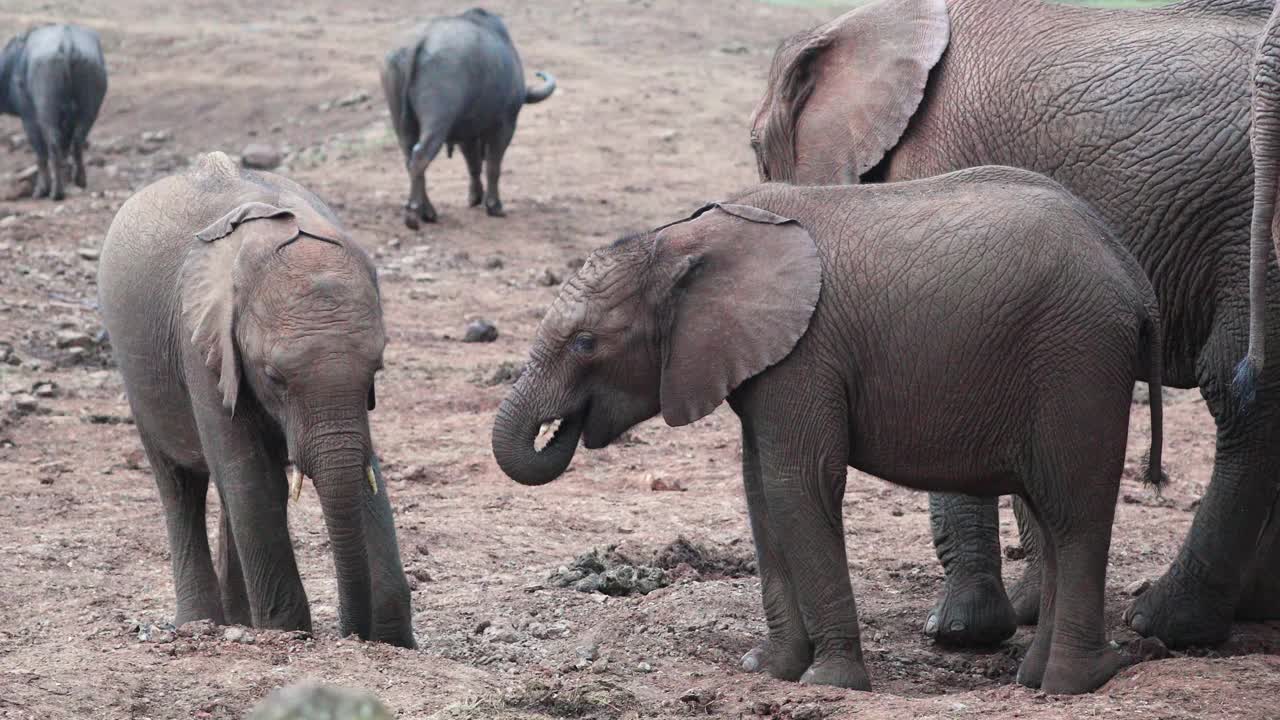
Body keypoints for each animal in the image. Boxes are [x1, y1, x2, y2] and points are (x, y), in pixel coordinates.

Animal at [0, 24, 106, 198]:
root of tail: (67, 42)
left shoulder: (28, 118)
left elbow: (41, 154)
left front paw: (41, 189)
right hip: (89, 109)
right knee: (77, 141)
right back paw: (79, 180)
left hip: (46, 111)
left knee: (53, 145)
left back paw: (56, 192)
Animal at [103, 151, 417, 645]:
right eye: (274, 376)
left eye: (377, 370)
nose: (352, 634)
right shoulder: (200, 346)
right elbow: (255, 481)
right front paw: (288, 634)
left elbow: (363, 472)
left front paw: (392, 641)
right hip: (137, 371)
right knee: (181, 486)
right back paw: (202, 623)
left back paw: (238, 621)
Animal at [381, 7, 558, 226]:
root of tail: (420, 40)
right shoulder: (505, 125)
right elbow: (493, 165)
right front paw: (494, 206)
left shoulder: (467, 132)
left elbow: (473, 162)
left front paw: (475, 197)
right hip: (437, 121)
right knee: (420, 157)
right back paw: (415, 215)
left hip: (401, 122)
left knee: (410, 158)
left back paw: (427, 211)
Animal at [494, 165, 1167, 691]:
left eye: (585, 343)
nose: (564, 426)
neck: (686, 238)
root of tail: (1137, 280)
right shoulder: (766, 364)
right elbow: (761, 494)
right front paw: (767, 668)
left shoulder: (806, 354)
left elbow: (799, 486)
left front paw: (830, 681)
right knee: (1053, 515)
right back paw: (1037, 676)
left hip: (1076, 357)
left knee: (1073, 509)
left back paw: (1071, 682)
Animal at [747, 0, 1280, 645]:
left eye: (756, 148)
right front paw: (1026, 609)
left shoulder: (937, 158)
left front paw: (959, 630)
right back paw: (1252, 608)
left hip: (1246, 233)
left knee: (1240, 393)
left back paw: (1165, 621)